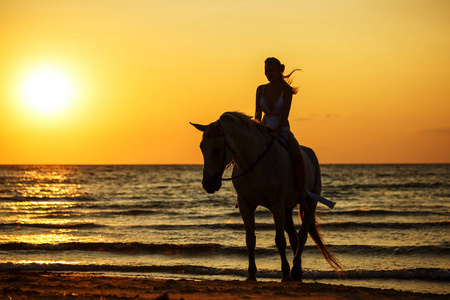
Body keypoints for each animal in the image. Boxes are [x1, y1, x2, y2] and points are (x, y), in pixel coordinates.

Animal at [192, 110, 342, 282]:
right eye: (201, 147)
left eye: (217, 149)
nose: (208, 184)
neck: (254, 163)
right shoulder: (245, 204)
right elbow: (250, 239)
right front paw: (251, 274)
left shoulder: (276, 204)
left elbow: (279, 240)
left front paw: (285, 274)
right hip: (287, 209)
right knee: (294, 237)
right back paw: (297, 271)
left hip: (309, 202)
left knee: (302, 234)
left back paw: (295, 270)